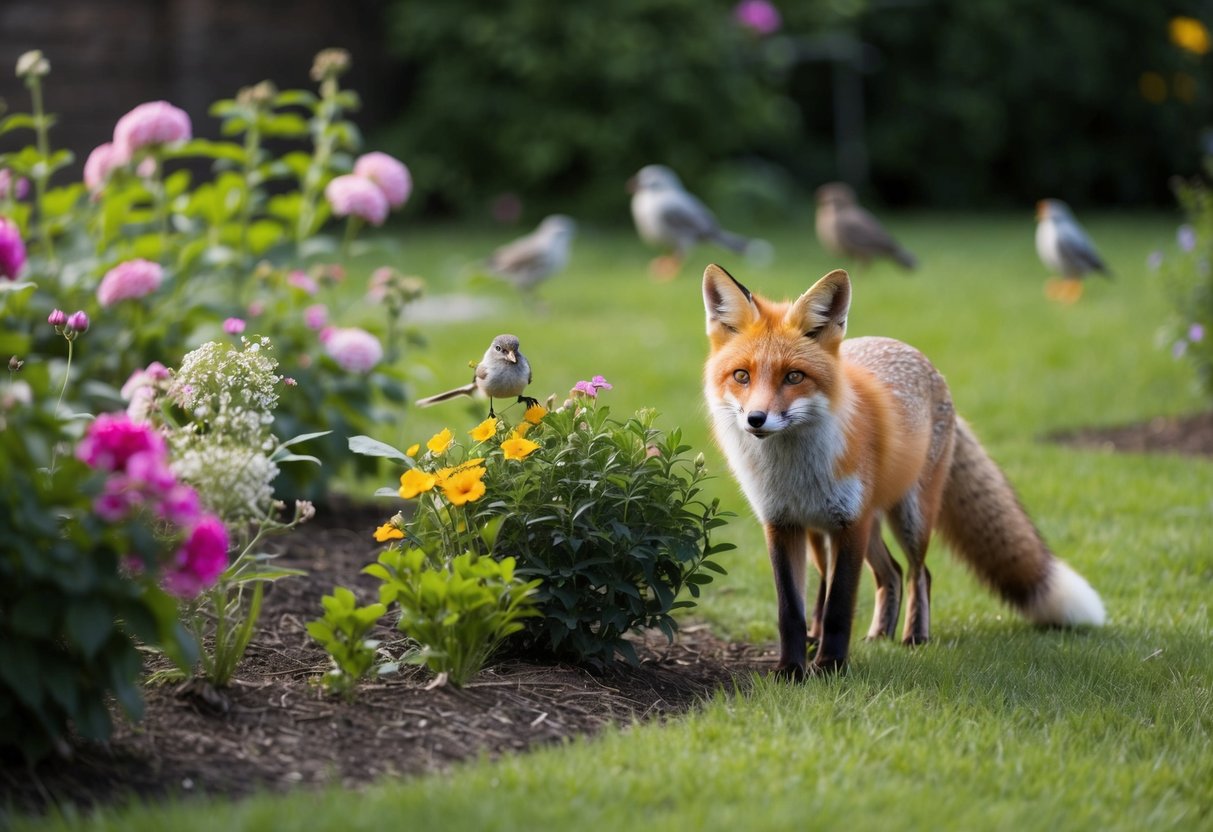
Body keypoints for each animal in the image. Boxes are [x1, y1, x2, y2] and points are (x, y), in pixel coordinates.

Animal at [701, 263, 1106, 678]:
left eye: (794, 377)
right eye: (742, 376)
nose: (756, 419)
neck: (794, 472)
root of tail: (910, 350)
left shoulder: (851, 522)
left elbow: (839, 607)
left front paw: (830, 665)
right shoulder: (782, 524)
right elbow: (791, 611)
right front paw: (792, 670)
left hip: (909, 516)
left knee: (917, 573)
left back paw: (914, 636)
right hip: (834, 534)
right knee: (886, 574)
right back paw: (876, 634)